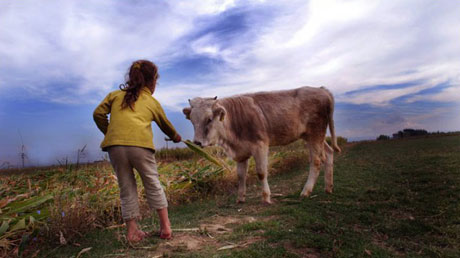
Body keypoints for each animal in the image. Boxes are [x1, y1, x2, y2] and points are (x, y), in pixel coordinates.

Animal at [181, 86, 340, 204]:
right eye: (192, 121)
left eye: (209, 119)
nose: (197, 142)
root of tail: (321, 89)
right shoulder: (241, 152)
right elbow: (241, 176)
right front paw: (240, 199)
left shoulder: (260, 145)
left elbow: (261, 172)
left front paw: (266, 198)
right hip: (313, 136)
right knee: (329, 153)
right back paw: (329, 187)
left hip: (315, 133)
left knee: (316, 161)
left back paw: (306, 192)